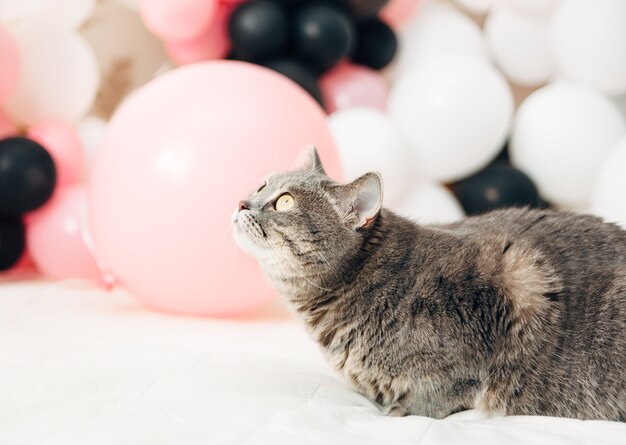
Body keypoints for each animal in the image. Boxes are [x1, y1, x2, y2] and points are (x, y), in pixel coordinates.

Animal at [232, 147, 620, 422]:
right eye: (262, 184)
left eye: (284, 202)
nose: (241, 202)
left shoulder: (515, 280)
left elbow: (446, 389)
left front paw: (401, 409)